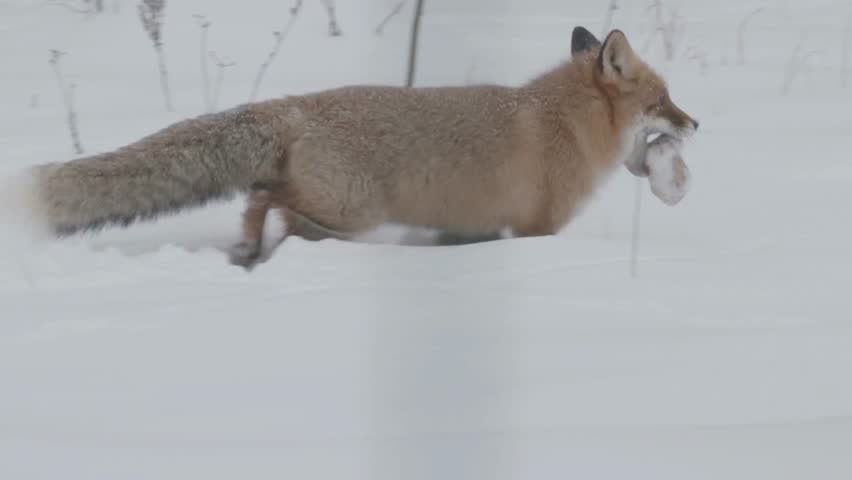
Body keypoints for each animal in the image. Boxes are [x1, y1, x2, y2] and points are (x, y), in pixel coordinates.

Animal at [23, 27, 698, 268]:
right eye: (663, 100)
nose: (696, 123)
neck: (565, 122)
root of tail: (293, 104)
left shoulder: (467, 230)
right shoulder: (536, 228)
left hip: (342, 211)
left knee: (263, 199)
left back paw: (250, 250)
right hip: (353, 209)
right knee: (267, 198)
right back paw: (254, 247)